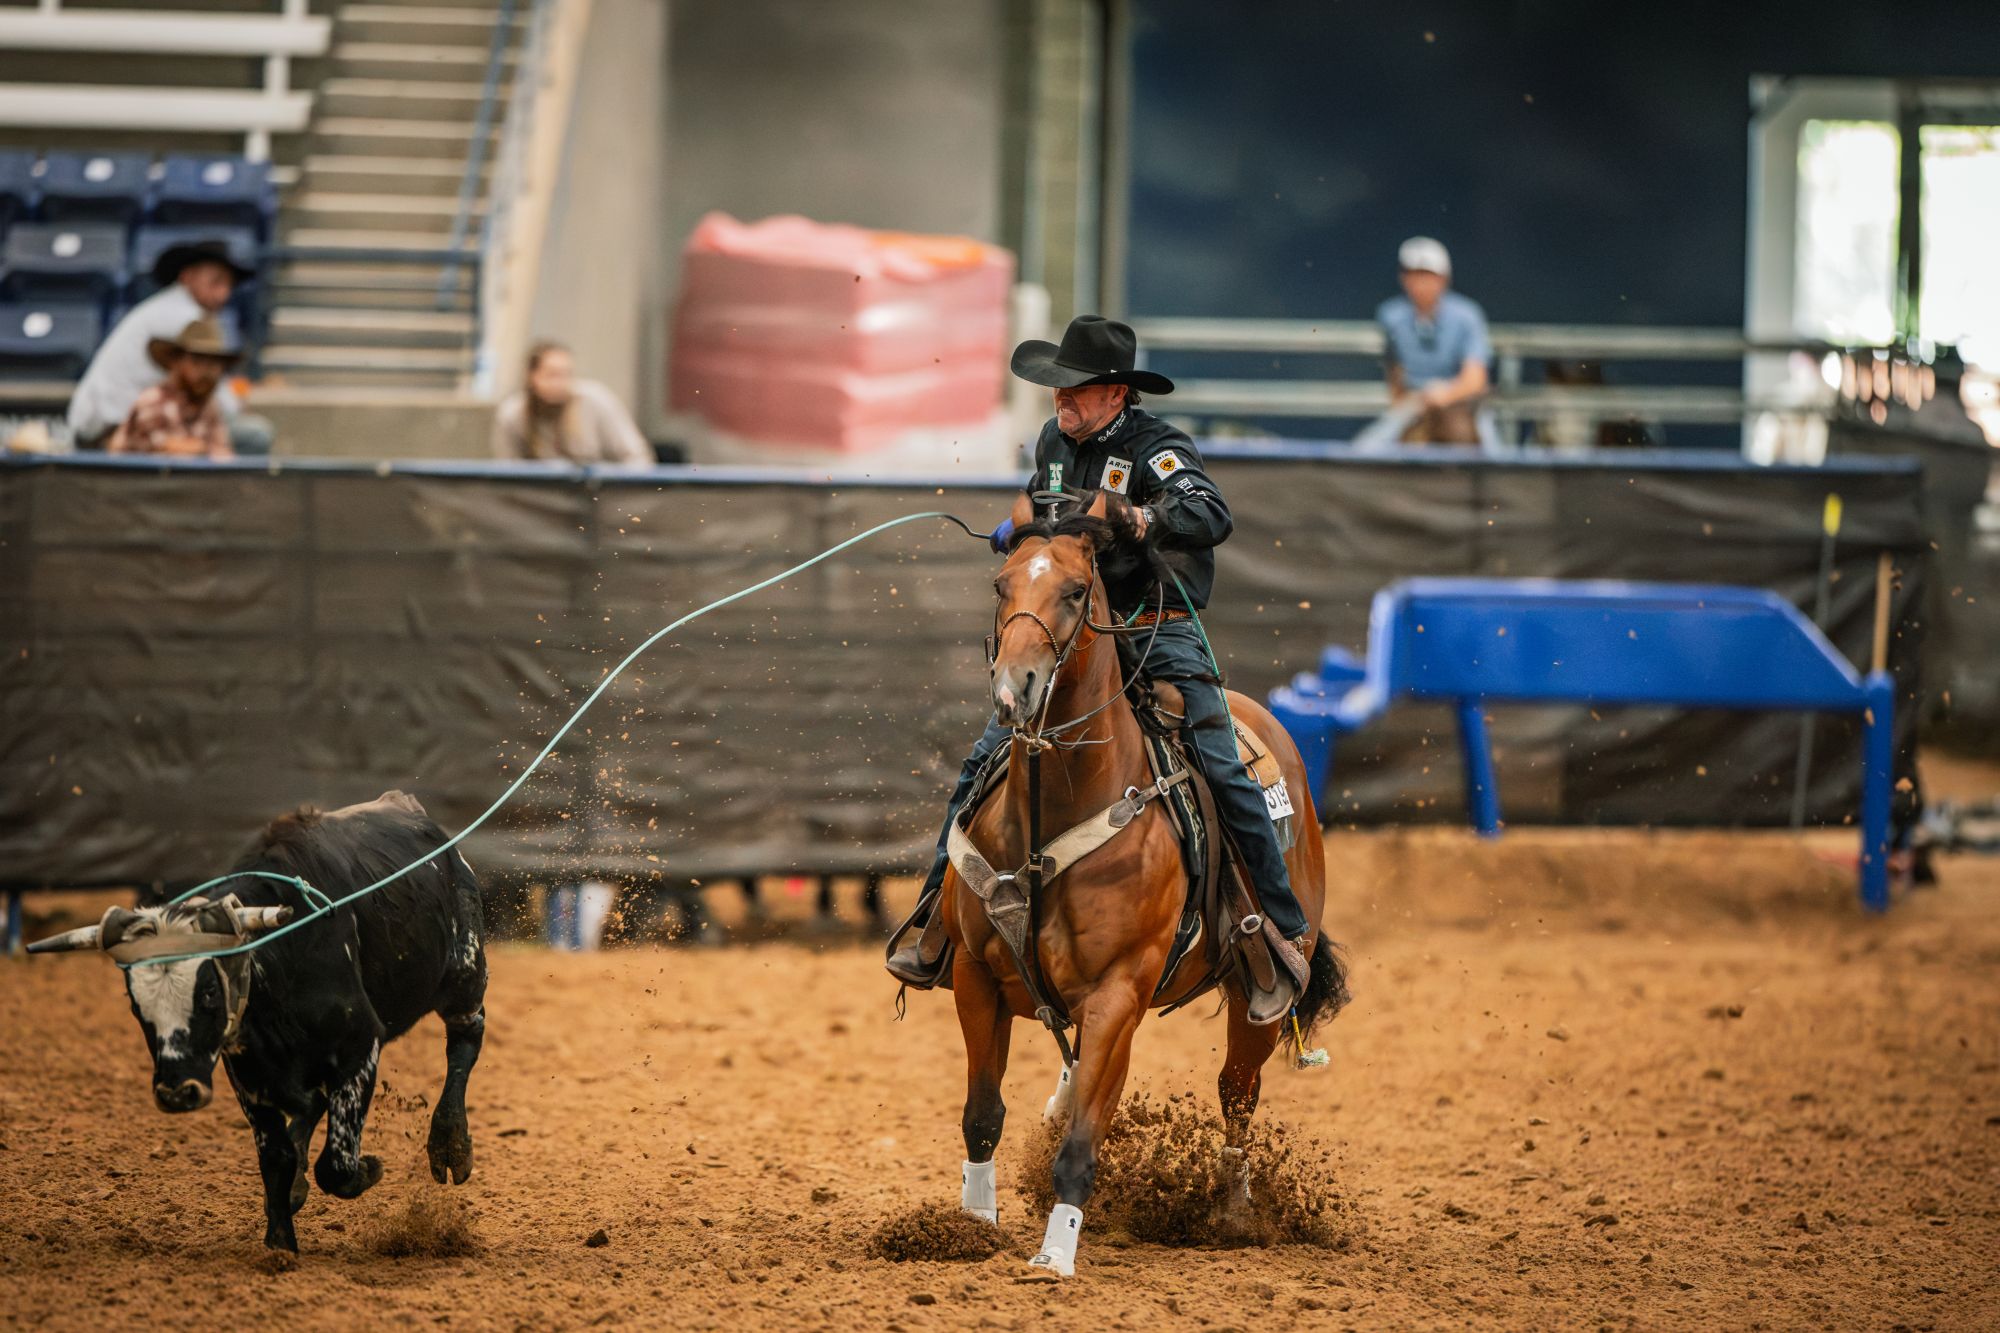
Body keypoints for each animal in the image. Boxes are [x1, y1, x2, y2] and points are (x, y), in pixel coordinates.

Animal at [941, 489, 1347, 1276]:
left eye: (1075, 590)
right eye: (1002, 585)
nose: (1014, 689)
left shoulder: (1118, 993)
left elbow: (1081, 1147)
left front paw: (1055, 1254)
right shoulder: (977, 975)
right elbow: (982, 1115)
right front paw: (971, 1225)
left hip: (1256, 992)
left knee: (1238, 1093)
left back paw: (1232, 1212)